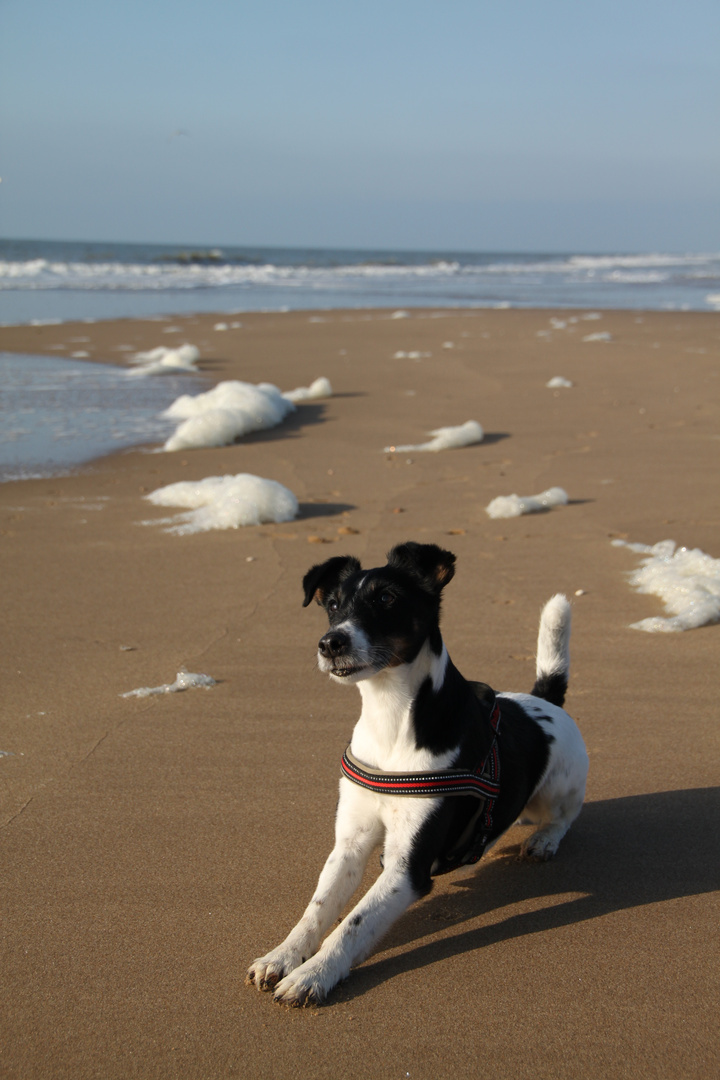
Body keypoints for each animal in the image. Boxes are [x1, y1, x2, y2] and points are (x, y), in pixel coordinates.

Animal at [249, 544, 591, 1006]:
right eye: (333, 605)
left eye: (386, 598)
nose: (330, 643)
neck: (391, 719)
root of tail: (545, 699)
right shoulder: (349, 844)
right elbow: (317, 910)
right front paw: (283, 955)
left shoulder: (406, 869)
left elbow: (352, 924)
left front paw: (315, 973)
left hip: (556, 789)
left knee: (565, 815)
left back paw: (545, 839)